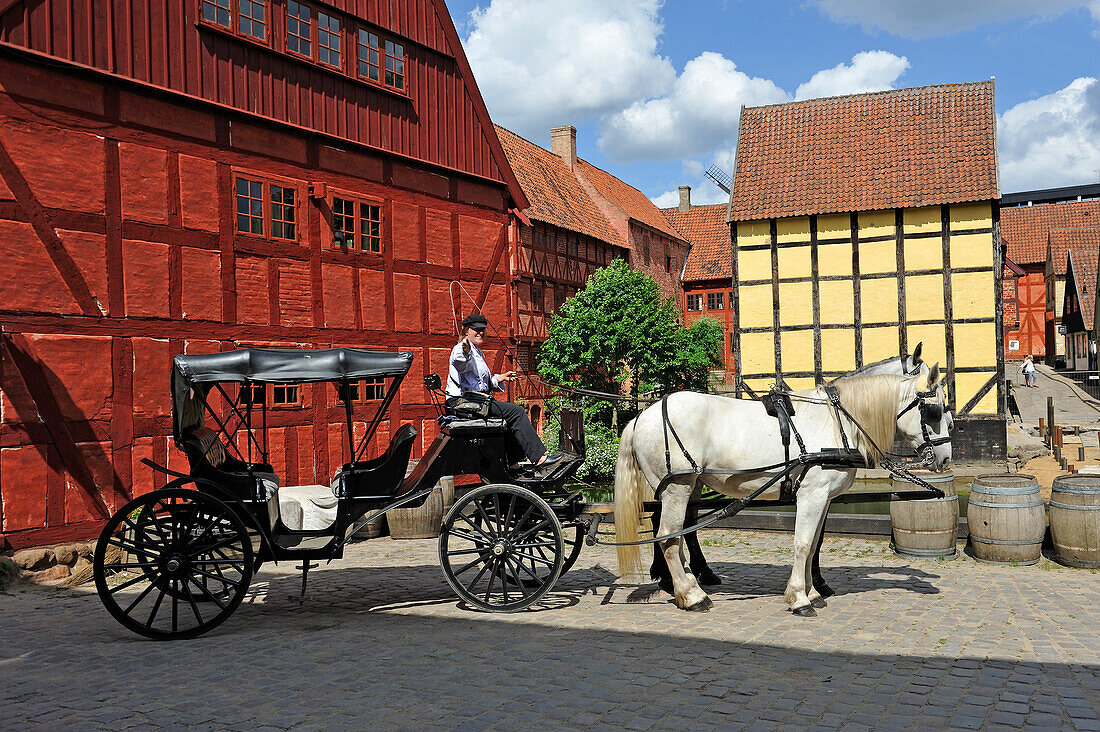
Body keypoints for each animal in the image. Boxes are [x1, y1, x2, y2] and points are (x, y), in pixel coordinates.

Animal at [616, 367, 950, 612]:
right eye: (934, 412)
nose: (945, 459)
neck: (837, 420)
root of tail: (641, 416)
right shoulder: (812, 495)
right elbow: (802, 544)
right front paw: (800, 598)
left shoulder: (823, 498)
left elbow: (814, 544)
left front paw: (813, 592)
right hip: (678, 487)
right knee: (668, 537)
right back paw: (690, 595)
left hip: (688, 486)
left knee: (680, 532)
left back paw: (686, 583)